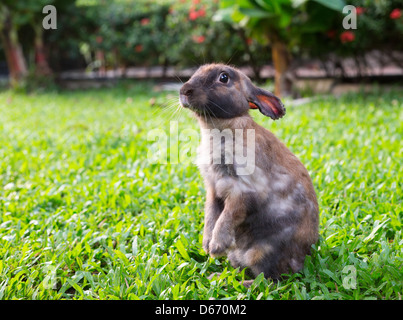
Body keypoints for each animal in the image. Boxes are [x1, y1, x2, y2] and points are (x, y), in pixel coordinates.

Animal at [180, 63, 318, 284]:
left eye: (224, 77)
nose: (184, 91)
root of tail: (301, 262)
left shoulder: (242, 191)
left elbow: (227, 216)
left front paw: (215, 247)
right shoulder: (213, 190)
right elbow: (211, 215)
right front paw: (207, 244)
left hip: (263, 253)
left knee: (268, 280)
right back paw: (218, 277)